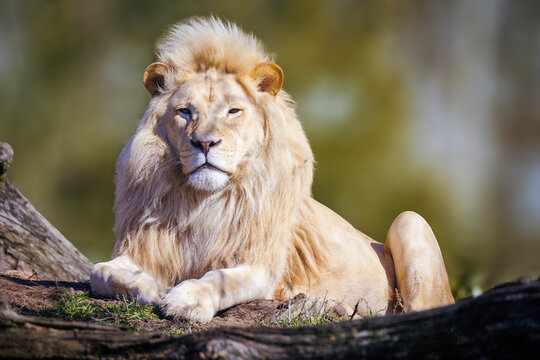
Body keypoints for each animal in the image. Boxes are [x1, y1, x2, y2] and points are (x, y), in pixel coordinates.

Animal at [90, 16, 454, 322]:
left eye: (233, 111)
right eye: (185, 112)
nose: (205, 144)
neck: (204, 203)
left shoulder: (261, 266)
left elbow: (220, 279)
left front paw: (187, 300)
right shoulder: (141, 247)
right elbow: (100, 271)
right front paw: (150, 287)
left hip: (411, 222)